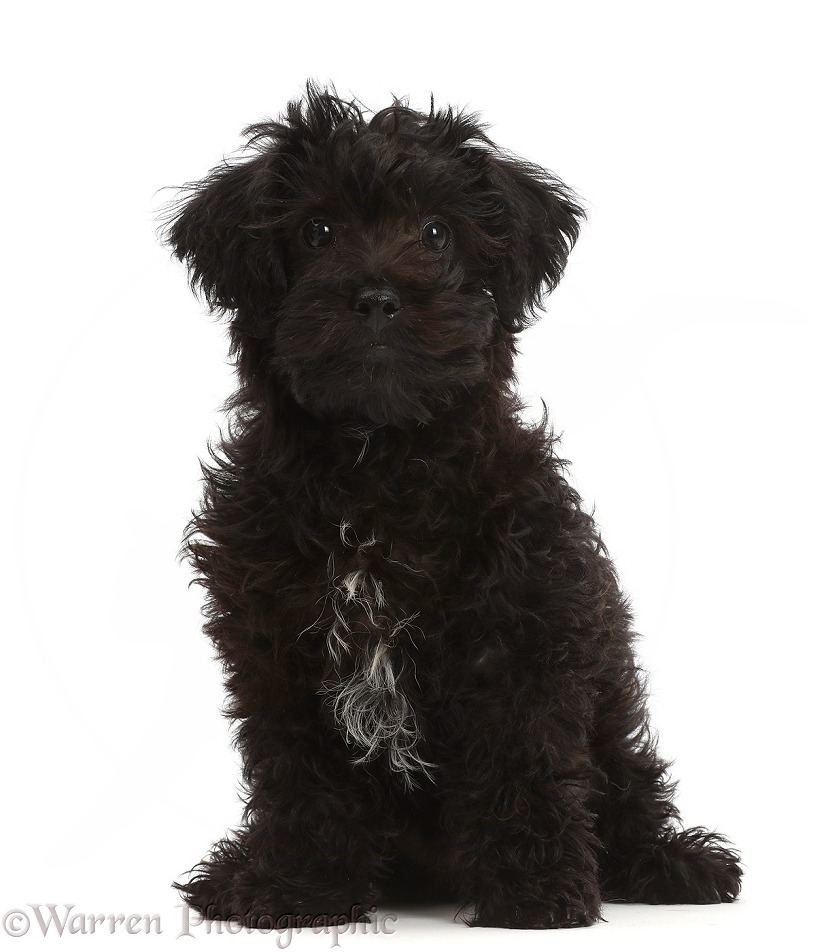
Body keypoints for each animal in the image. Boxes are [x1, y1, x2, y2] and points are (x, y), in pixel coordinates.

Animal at [163, 83, 740, 928]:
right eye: (317, 229)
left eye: (437, 232)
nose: (377, 298)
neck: (375, 463)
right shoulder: (277, 650)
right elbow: (301, 776)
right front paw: (297, 888)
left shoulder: (523, 629)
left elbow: (523, 758)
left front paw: (535, 893)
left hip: (612, 719)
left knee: (632, 792)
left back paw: (675, 865)